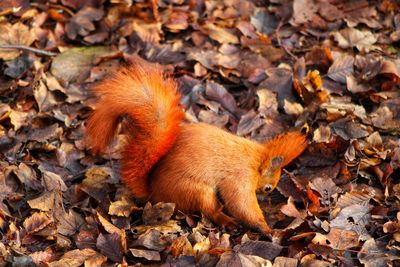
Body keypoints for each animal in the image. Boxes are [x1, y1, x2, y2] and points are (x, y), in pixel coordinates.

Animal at [86, 65, 308, 237]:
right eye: (269, 187)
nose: (265, 195)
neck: (256, 159)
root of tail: (155, 193)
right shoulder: (240, 178)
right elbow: (242, 205)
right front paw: (266, 228)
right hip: (197, 191)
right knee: (209, 210)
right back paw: (227, 221)